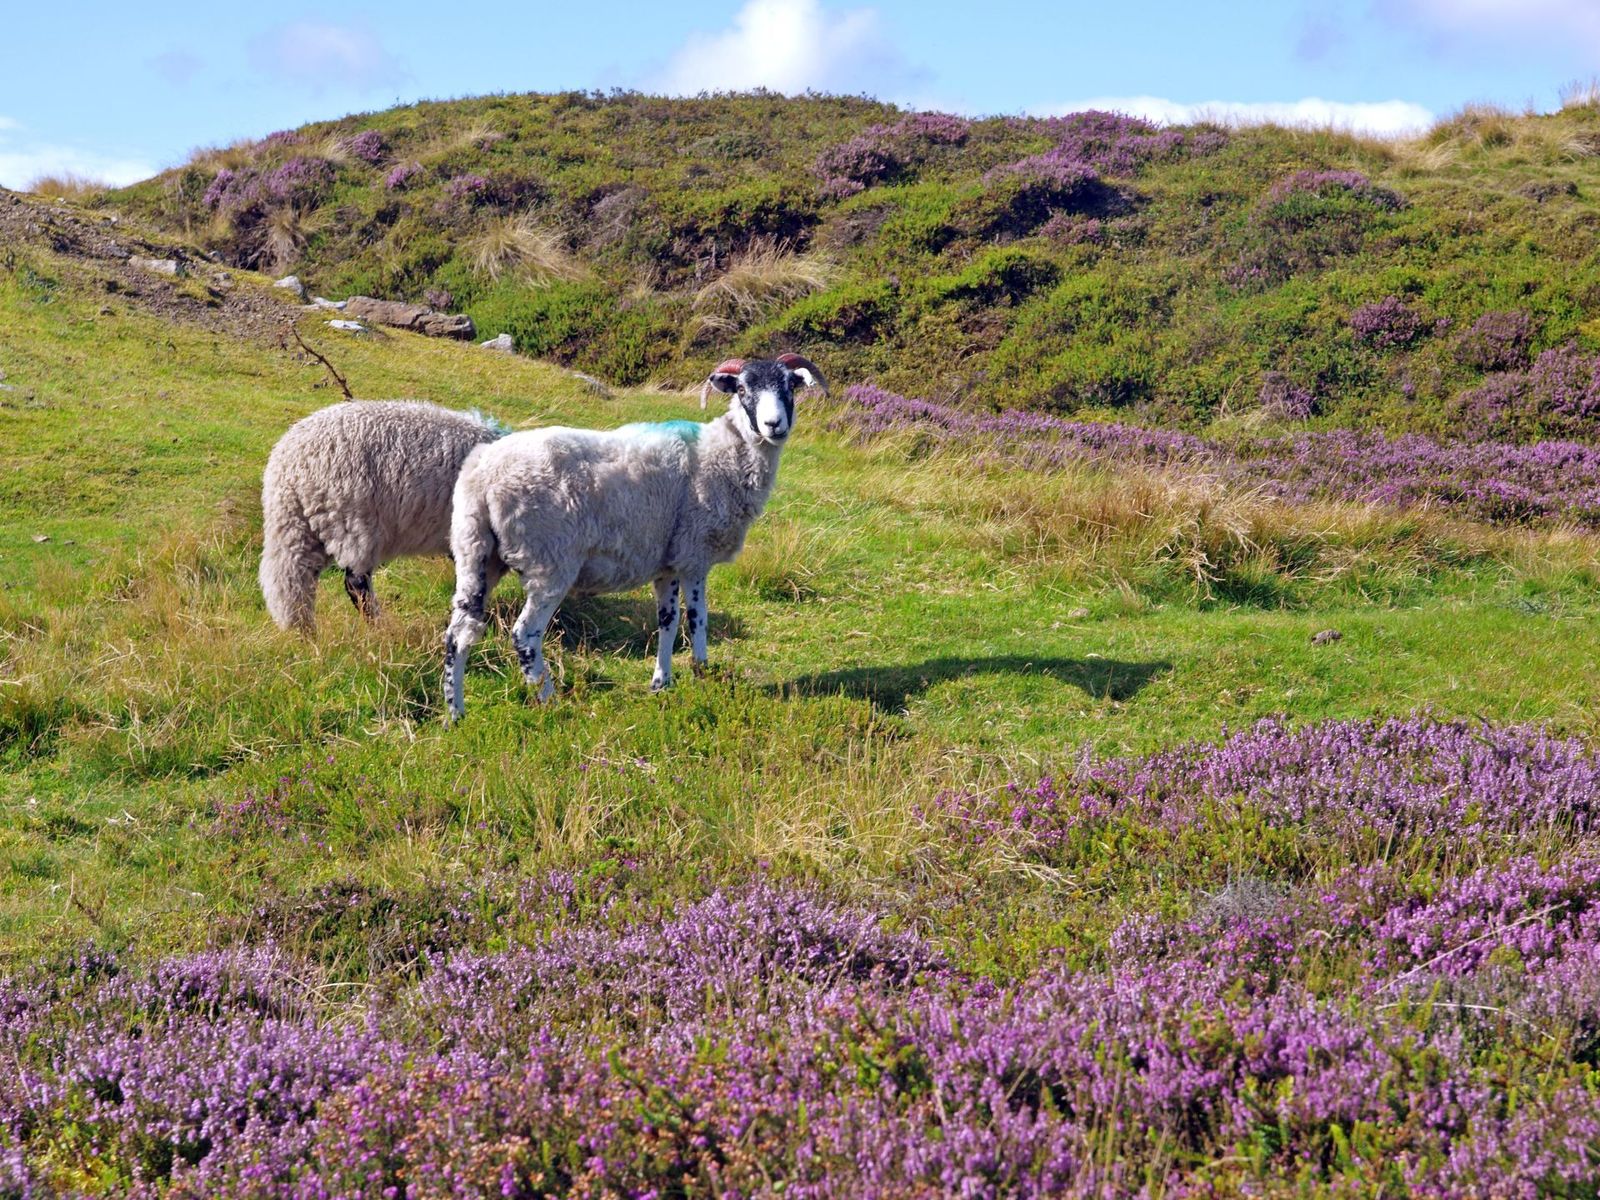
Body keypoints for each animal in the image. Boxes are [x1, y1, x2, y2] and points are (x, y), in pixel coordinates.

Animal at [260, 400, 511, 632]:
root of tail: (286, 465)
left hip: (304, 526)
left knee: (292, 581)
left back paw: (302, 629)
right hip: (351, 522)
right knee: (355, 582)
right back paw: (380, 628)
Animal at [442, 353, 826, 720]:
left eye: (789, 386)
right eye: (743, 388)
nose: (774, 425)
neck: (722, 454)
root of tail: (483, 473)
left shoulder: (667, 564)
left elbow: (668, 622)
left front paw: (662, 683)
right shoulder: (694, 555)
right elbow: (697, 619)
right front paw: (703, 674)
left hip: (475, 551)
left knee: (458, 634)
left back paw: (455, 714)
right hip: (549, 562)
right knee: (525, 635)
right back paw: (550, 701)